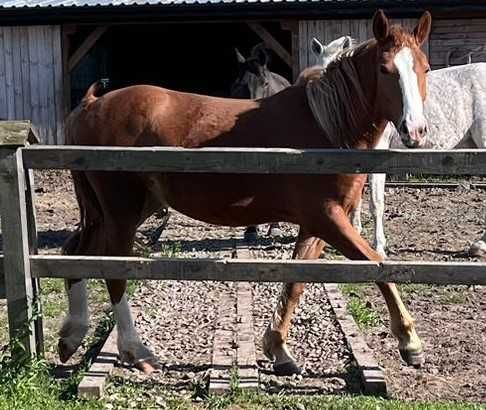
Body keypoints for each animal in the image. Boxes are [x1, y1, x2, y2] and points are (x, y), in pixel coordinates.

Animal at [59, 10, 430, 374]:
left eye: (424, 68)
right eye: (385, 70)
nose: (416, 131)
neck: (325, 128)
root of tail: (91, 104)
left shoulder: (316, 225)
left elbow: (297, 280)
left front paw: (278, 348)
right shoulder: (328, 219)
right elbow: (377, 265)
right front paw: (409, 342)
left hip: (118, 211)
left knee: (75, 252)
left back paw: (71, 336)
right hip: (121, 212)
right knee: (113, 271)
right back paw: (136, 351)